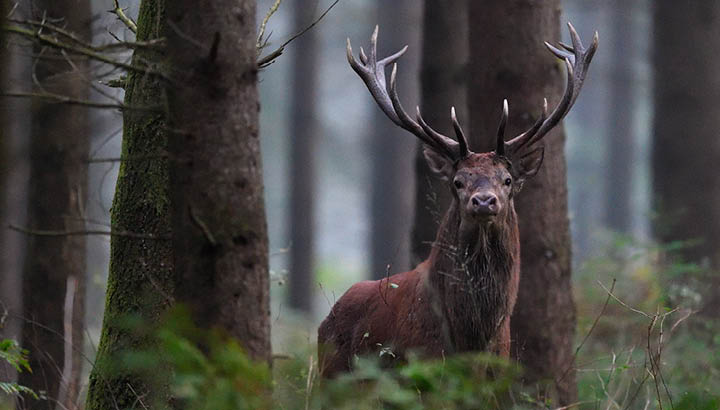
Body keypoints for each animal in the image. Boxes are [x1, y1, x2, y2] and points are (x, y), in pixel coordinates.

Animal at [318, 23, 597, 377]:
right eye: (457, 182)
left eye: (507, 180)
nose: (484, 201)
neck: (472, 338)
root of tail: (326, 320)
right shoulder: (419, 365)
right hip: (331, 372)